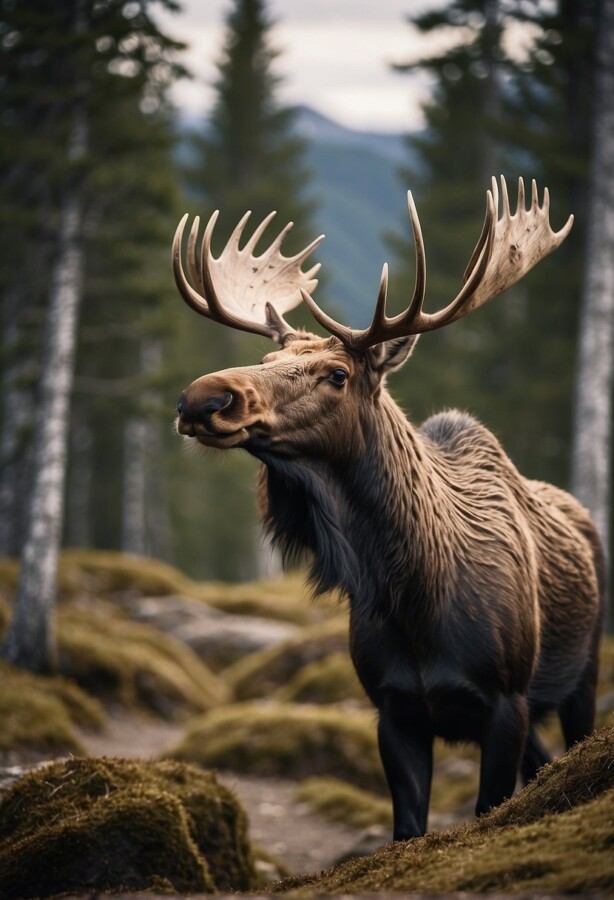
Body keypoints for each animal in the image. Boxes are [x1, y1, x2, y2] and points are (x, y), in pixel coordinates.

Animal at [173, 178, 608, 844]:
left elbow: (488, 807)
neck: (415, 600)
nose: (204, 397)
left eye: (336, 373)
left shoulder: (505, 700)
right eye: (268, 363)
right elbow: (407, 826)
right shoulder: (393, 706)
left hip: (581, 673)